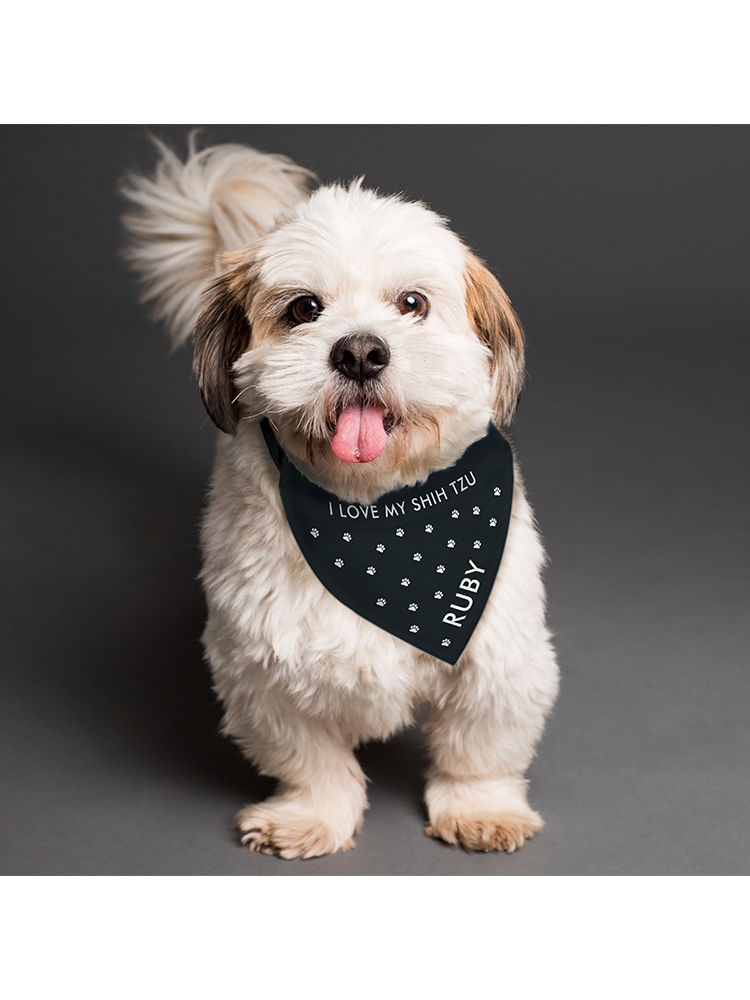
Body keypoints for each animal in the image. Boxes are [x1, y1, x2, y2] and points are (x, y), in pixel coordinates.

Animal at [122, 135, 560, 860]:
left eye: (412, 303)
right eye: (304, 308)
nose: (359, 351)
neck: (374, 510)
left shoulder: (497, 654)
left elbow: (479, 747)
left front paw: (481, 807)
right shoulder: (262, 669)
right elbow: (311, 759)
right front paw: (311, 815)